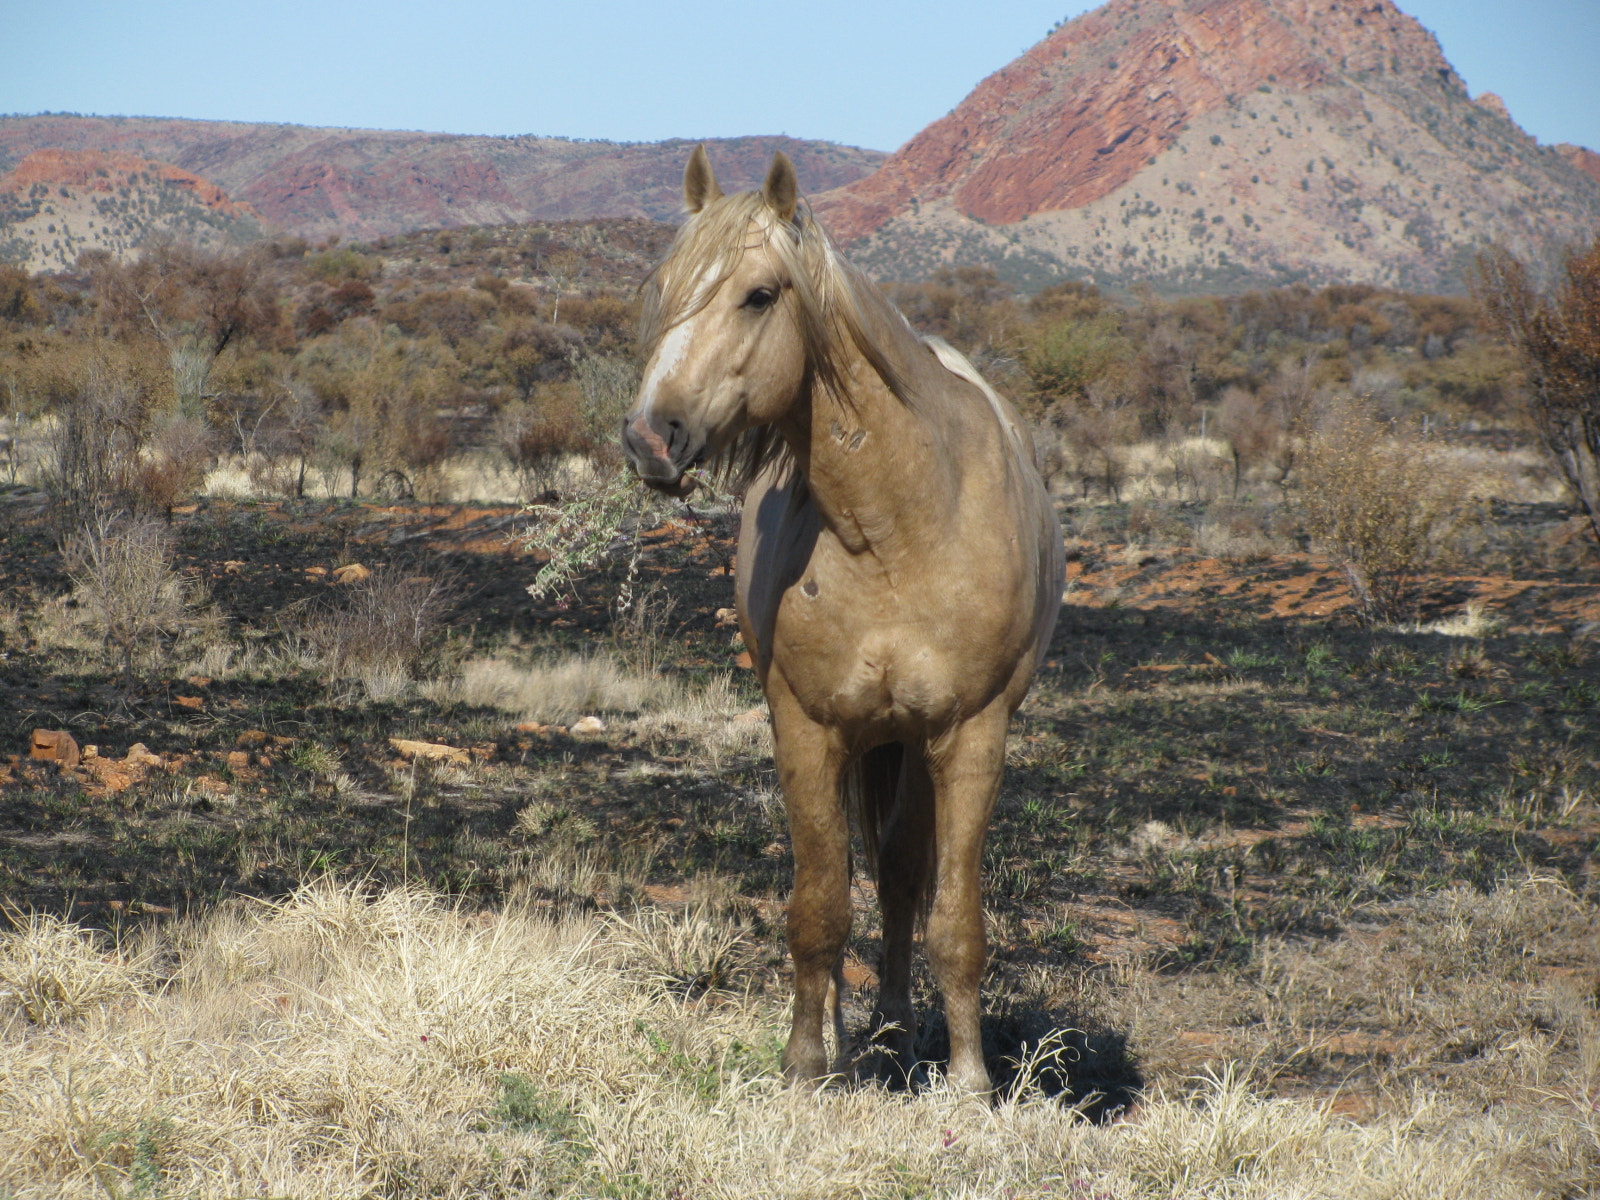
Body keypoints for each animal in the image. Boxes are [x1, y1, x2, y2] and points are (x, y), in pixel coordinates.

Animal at [624, 145, 1062, 1094]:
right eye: (665, 285)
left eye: (760, 294)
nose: (650, 438)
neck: (898, 525)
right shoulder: (806, 726)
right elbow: (818, 905)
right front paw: (804, 1065)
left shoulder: (973, 734)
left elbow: (954, 920)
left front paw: (971, 1084)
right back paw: (844, 1033)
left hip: (911, 742)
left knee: (898, 875)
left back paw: (898, 1029)